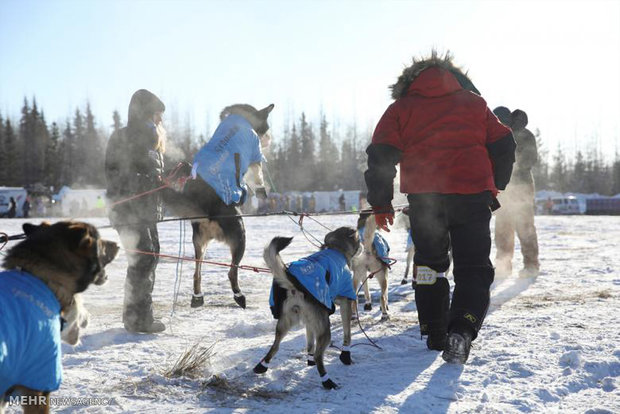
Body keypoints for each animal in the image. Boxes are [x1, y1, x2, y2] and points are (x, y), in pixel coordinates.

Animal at [254, 228, 360, 390]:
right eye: (359, 239)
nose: (363, 247)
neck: (336, 248)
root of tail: (294, 284)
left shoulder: (311, 321)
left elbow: (310, 342)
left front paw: (309, 360)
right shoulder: (345, 302)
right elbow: (347, 335)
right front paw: (345, 356)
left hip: (286, 322)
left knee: (275, 346)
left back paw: (262, 366)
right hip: (324, 329)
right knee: (319, 356)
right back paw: (327, 381)